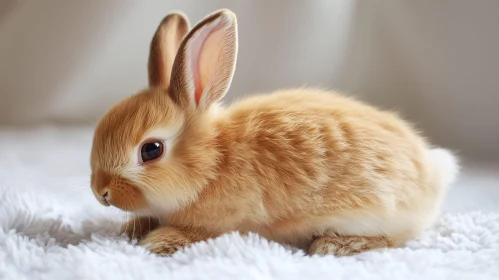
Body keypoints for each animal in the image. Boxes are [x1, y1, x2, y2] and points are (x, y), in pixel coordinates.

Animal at [91, 9, 460, 258]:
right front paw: (131, 228)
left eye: (151, 150)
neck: (214, 161)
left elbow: (194, 233)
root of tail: (434, 171)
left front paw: (158, 241)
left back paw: (331, 245)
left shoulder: (220, 223)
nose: (101, 192)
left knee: (391, 239)